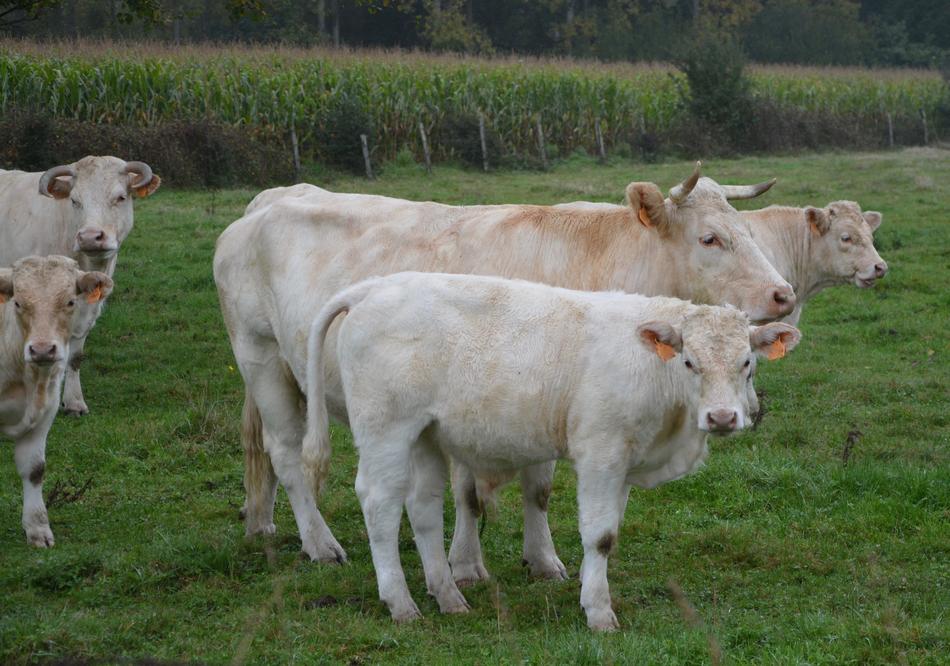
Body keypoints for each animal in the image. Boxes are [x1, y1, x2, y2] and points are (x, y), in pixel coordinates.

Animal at [0, 156, 161, 416]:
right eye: (75, 200)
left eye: (120, 197)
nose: (89, 237)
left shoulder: (86, 310)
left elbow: (75, 356)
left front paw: (74, 401)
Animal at [0, 256, 112, 547]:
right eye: (18, 302)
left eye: (70, 301)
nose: (41, 349)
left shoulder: (45, 413)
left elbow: (34, 469)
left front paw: (37, 528)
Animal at [213, 163, 794, 569]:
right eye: (710, 238)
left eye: (746, 229)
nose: (783, 294)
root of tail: (270, 199)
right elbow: (470, 492)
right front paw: (466, 564)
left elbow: (538, 487)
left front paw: (543, 561)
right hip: (260, 356)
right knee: (286, 454)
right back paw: (320, 543)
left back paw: (262, 522)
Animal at [300, 272, 802, 629]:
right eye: (689, 362)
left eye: (747, 363)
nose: (722, 418)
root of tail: (374, 287)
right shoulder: (601, 453)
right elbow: (600, 535)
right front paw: (598, 612)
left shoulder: (624, 462)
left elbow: (610, 534)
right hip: (386, 430)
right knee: (380, 505)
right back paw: (401, 602)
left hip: (425, 434)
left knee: (423, 508)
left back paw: (448, 596)